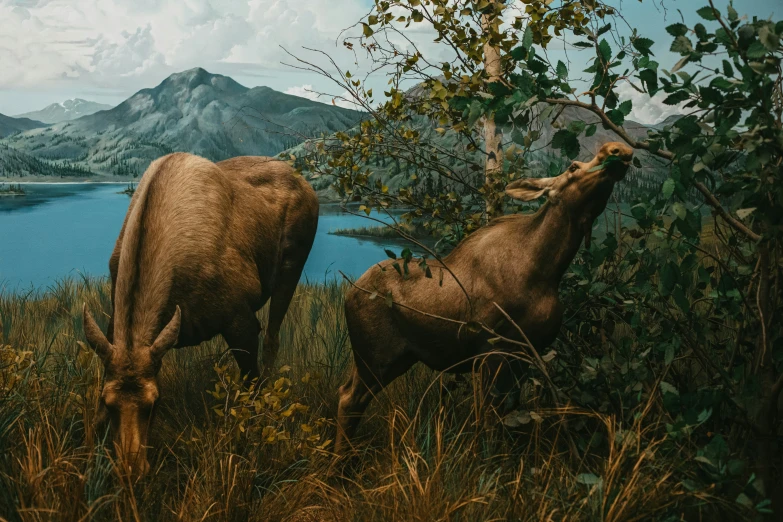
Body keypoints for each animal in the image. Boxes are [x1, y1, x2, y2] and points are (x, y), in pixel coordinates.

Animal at [82, 151, 318, 472]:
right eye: (107, 401)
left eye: (154, 402)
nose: (132, 469)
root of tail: (307, 186)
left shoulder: (240, 321)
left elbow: (251, 388)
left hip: (291, 268)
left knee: (273, 339)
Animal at [334, 140, 632, 452]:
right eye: (573, 166)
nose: (616, 148)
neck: (546, 270)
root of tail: (349, 293)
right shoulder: (491, 349)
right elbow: (489, 420)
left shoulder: (525, 353)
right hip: (375, 355)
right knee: (349, 400)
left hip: (396, 357)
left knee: (346, 393)